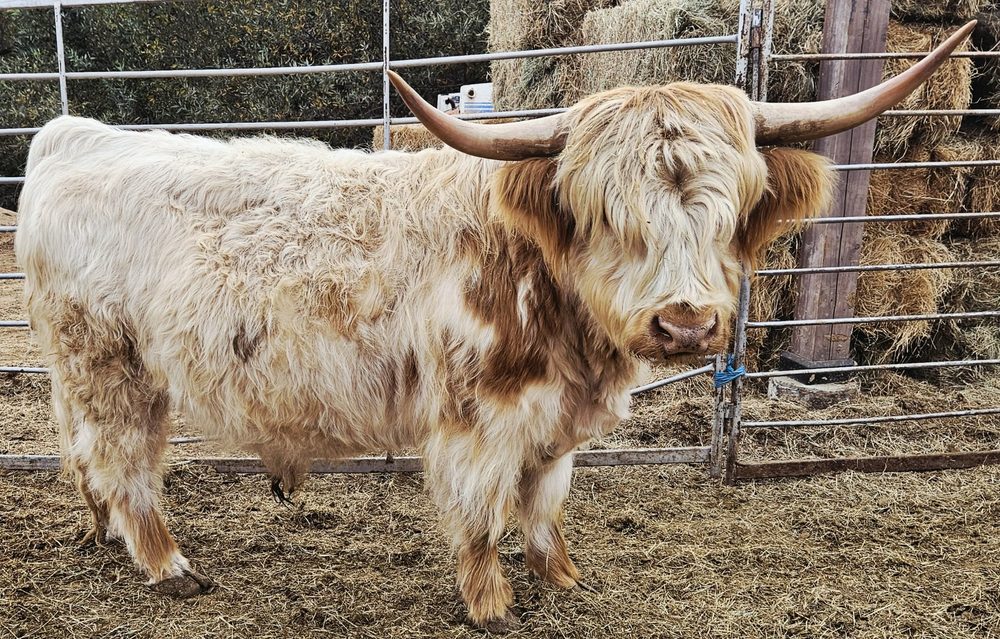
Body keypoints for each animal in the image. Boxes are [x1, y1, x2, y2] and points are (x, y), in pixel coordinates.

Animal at [14, 22, 972, 631]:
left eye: (729, 209)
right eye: (608, 214)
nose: (686, 321)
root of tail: (76, 134)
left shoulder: (555, 423)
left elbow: (543, 502)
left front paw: (563, 575)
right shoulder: (478, 417)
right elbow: (480, 513)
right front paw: (491, 603)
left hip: (90, 372)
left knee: (85, 456)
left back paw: (99, 532)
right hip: (109, 364)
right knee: (126, 463)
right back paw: (165, 561)